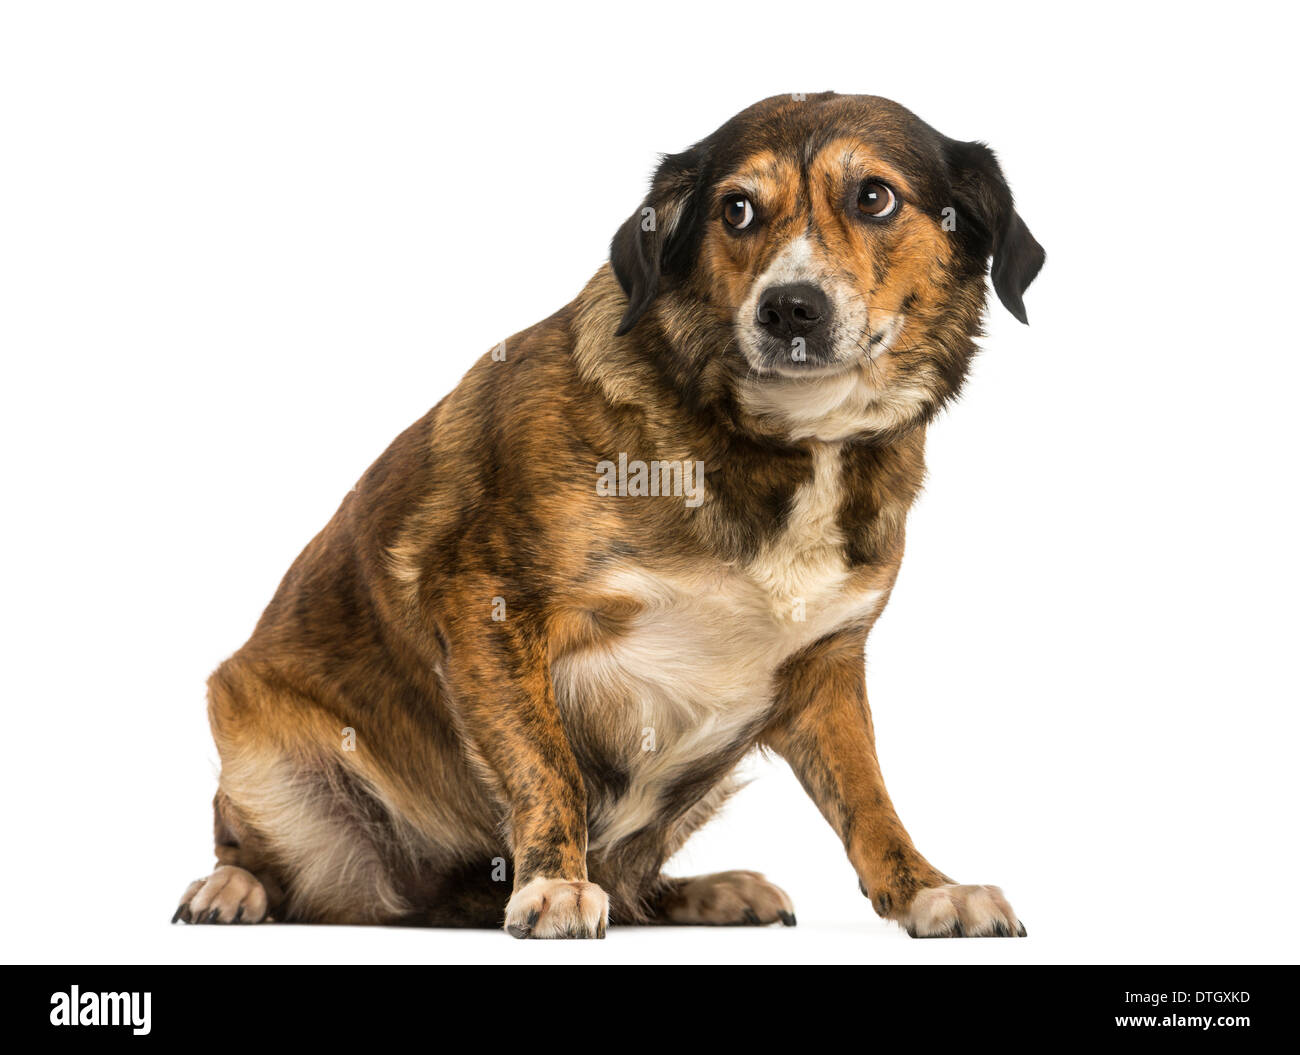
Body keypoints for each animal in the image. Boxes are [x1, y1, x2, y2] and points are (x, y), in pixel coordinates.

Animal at [175, 92, 1045, 940]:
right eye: (736, 209)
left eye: (874, 197)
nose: (788, 308)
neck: (784, 443)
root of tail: (426, 902)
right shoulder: (485, 601)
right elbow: (546, 764)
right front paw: (553, 883)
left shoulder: (825, 668)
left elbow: (868, 799)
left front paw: (927, 889)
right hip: (259, 745)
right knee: (266, 859)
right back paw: (233, 886)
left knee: (635, 884)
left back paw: (704, 892)